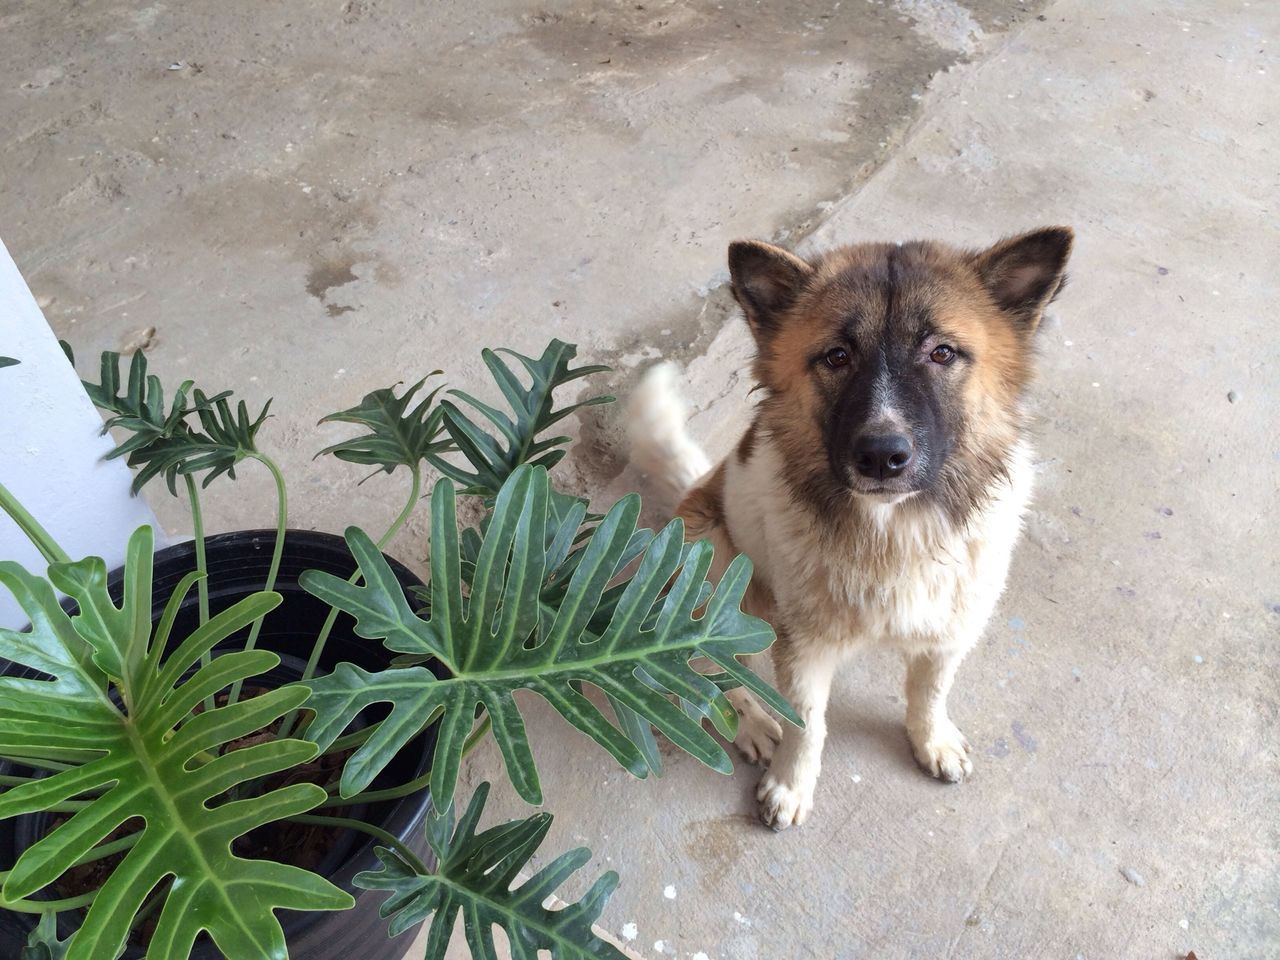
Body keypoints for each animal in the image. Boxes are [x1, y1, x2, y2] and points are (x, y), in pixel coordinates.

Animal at [629, 229, 1070, 829]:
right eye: (836, 356)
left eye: (942, 352)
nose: (882, 456)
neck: (892, 534)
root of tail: (695, 487)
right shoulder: (803, 646)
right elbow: (807, 724)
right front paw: (791, 786)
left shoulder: (951, 628)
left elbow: (930, 692)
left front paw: (932, 740)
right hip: (714, 571)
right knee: (709, 665)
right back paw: (750, 723)